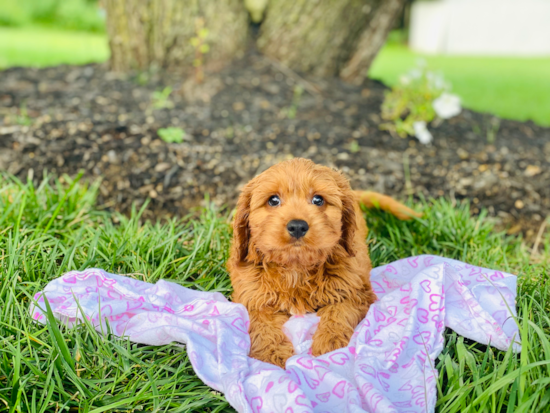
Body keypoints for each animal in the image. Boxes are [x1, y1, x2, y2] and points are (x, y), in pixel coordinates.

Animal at [229, 158, 422, 366]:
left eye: (318, 200)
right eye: (273, 200)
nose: (297, 226)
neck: (297, 268)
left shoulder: (354, 290)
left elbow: (339, 312)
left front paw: (329, 346)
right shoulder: (251, 297)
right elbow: (261, 326)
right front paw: (272, 357)